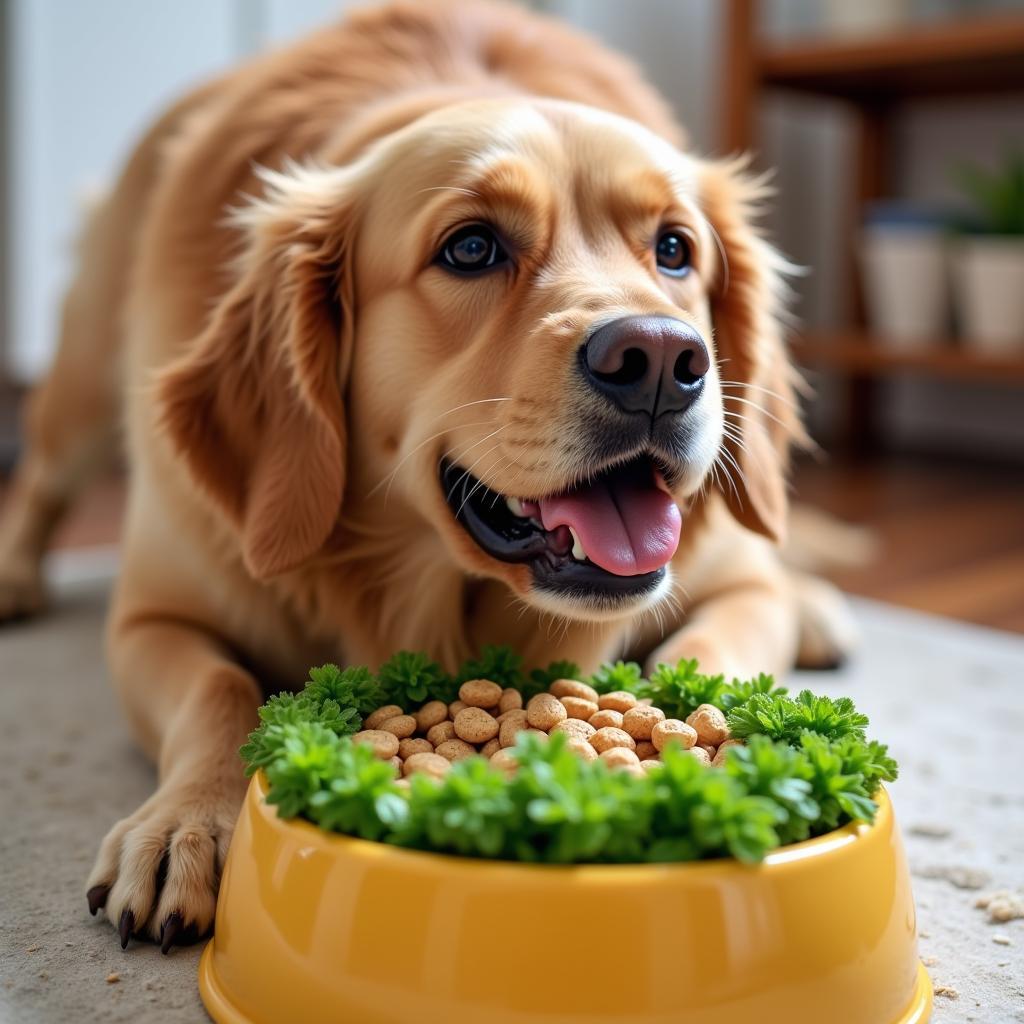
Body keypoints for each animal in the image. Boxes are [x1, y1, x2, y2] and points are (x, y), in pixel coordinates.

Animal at [0, 0, 851, 950]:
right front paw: (190, 821)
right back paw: (14, 577)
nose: (663, 361)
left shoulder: (738, 586)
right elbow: (222, 690)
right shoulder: (155, 615)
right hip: (79, 387)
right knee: (41, 480)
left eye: (674, 249)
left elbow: (700, 656)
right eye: (471, 248)